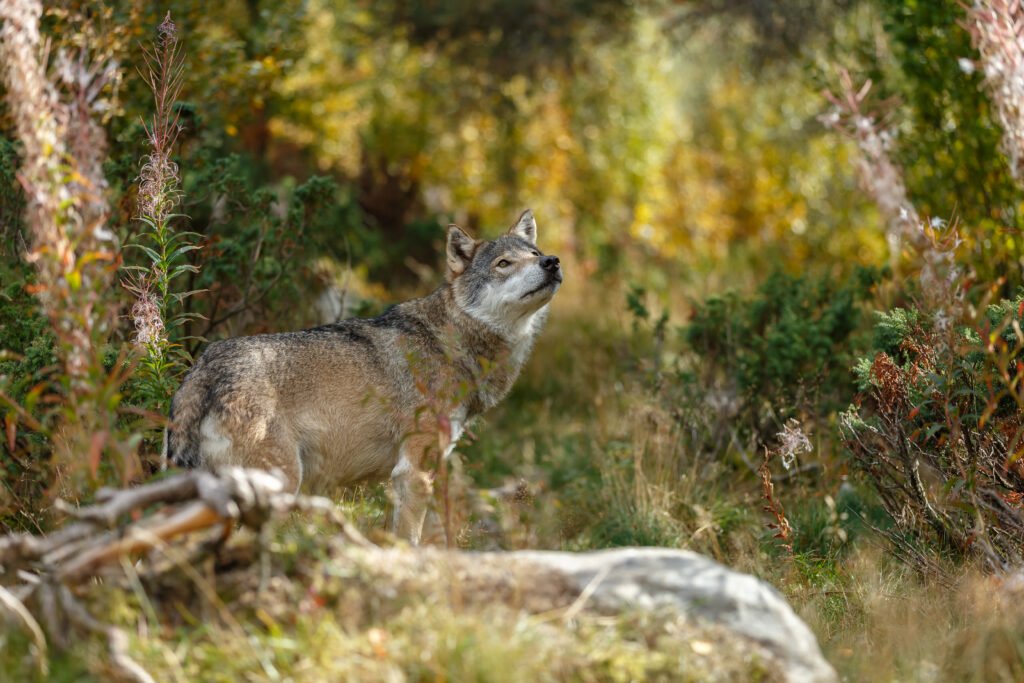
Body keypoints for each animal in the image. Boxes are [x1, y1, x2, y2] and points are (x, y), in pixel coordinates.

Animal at [165, 208, 561, 544]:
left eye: (534, 252)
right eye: (504, 263)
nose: (552, 261)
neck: (452, 340)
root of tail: (204, 368)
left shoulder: (428, 468)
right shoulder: (414, 470)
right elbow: (410, 539)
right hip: (278, 487)